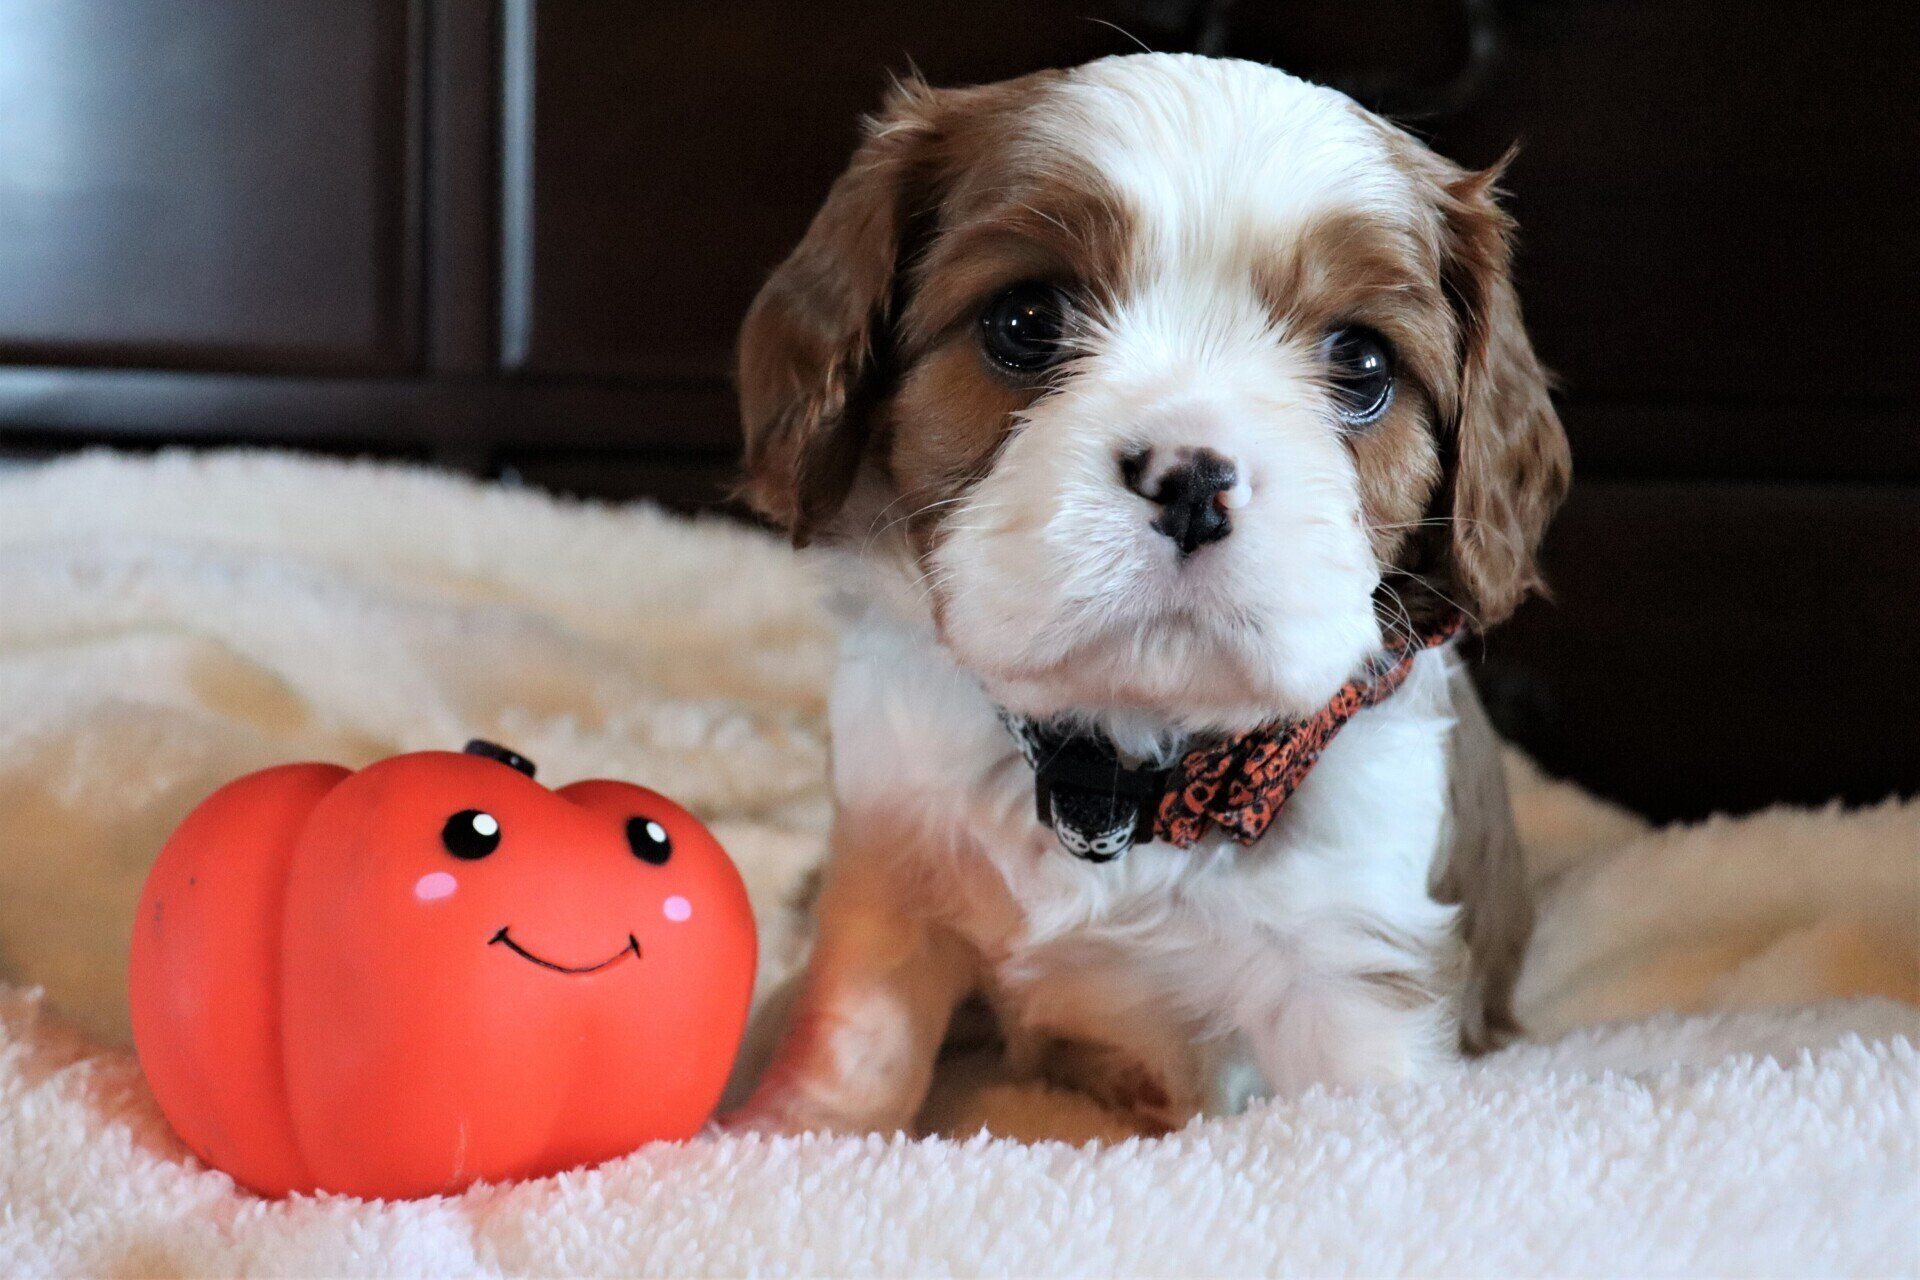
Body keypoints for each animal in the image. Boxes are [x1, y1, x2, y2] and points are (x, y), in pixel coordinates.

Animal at [727, 53, 1569, 1133]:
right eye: (1024, 321)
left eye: (1363, 361)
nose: (1192, 481)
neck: (1123, 775)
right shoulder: (890, 868)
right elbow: (854, 1046)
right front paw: (794, 1136)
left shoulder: (1359, 967)